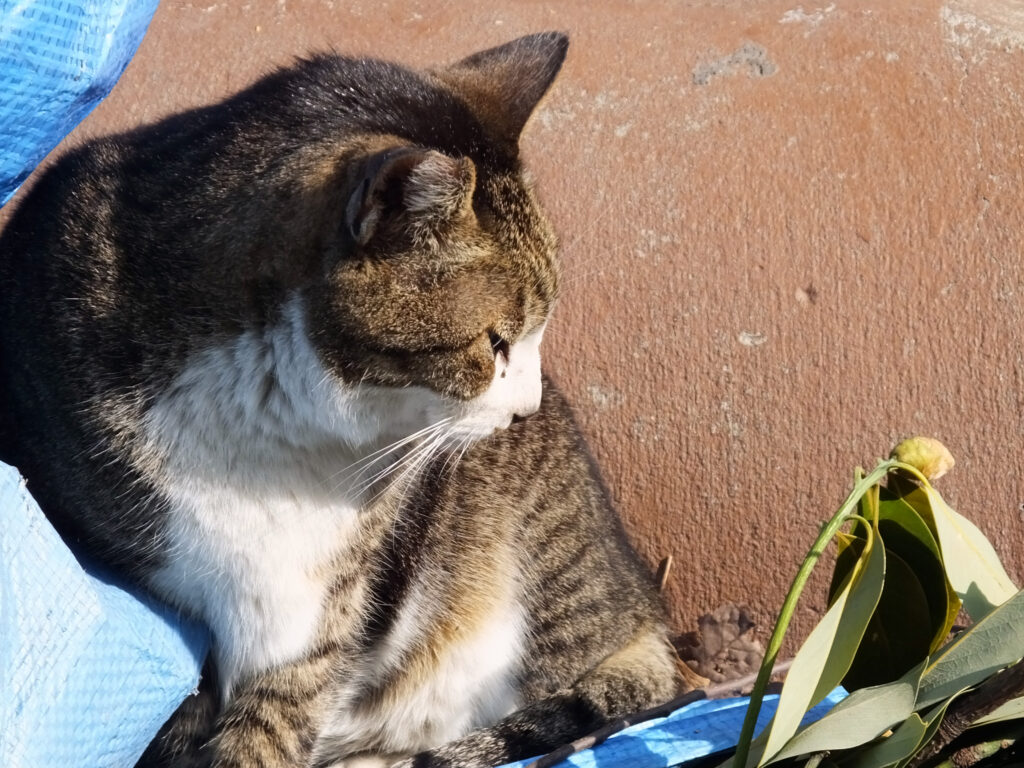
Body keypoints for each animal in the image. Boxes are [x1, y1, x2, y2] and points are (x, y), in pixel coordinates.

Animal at [2, 31, 688, 768]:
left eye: (538, 331)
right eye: (495, 341)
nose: (526, 409)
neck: (269, 417)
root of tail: (642, 600)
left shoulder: (312, 613)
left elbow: (271, 726)